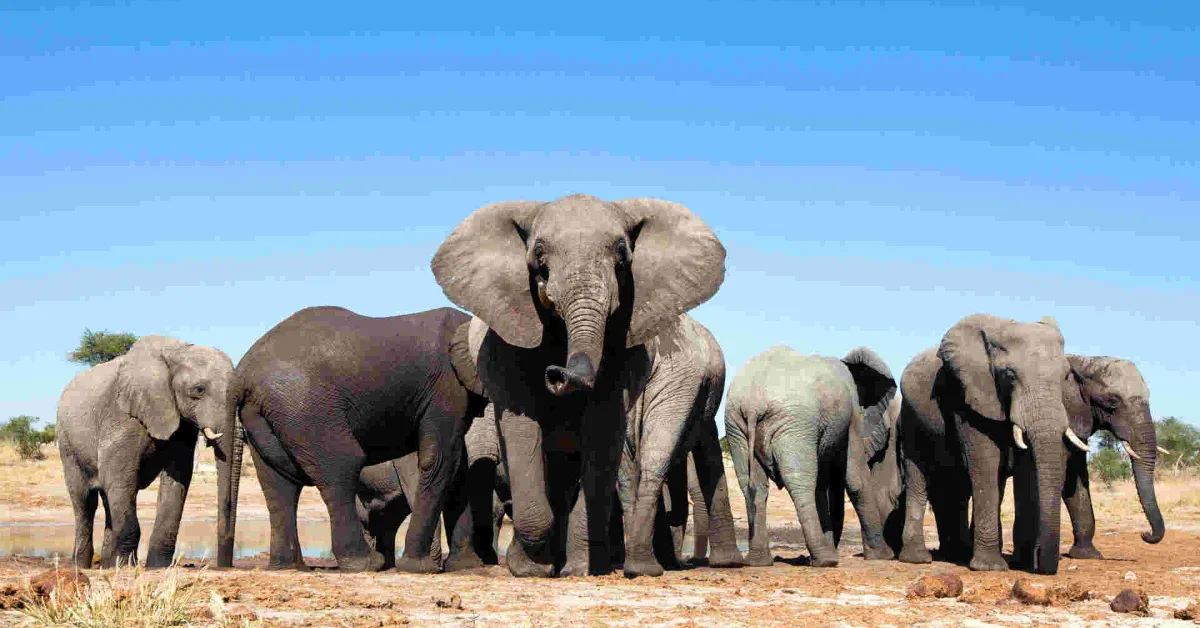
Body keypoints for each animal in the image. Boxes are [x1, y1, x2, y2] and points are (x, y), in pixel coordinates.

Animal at [56, 335, 234, 568]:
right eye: (199, 389)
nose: (225, 564)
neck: (177, 352)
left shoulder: (180, 421)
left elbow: (177, 477)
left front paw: (157, 567)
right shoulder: (122, 416)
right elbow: (119, 476)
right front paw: (125, 566)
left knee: (109, 498)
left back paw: (107, 564)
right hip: (67, 441)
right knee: (85, 500)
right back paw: (83, 565)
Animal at [217, 306, 489, 573]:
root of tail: (241, 373)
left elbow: (458, 467)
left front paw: (466, 566)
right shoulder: (447, 387)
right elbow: (441, 459)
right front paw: (420, 567)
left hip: (265, 412)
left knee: (279, 482)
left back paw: (288, 566)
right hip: (304, 405)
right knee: (342, 466)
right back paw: (366, 563)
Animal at [431, 194, 726, 578]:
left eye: (621, 255)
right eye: (539, 255)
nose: (556, 374)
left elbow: (602, 427)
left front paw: (578, 569)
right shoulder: (506, 339)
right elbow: (522, 426)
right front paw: (531, 569)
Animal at [724, 345, 898, 568]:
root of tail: (753, 403)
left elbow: (822, 485)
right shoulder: (851, 418)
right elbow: (856, 480)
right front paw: (884, 556)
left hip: (736, 425)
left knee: (752, 485)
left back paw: (759, 561)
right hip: (793, 424)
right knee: (800, 482)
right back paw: (825, 560)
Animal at [897, 313, 1084, 575]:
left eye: (1065, 377)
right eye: (1010, 375)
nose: (1042, 563)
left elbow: (1026, 470)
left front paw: (1022, 563)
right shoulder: (968, 396)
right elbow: (986, 463)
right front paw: (990, 567)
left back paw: (958, 553)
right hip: (910, 416)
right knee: (918, 475)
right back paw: (918, 559)